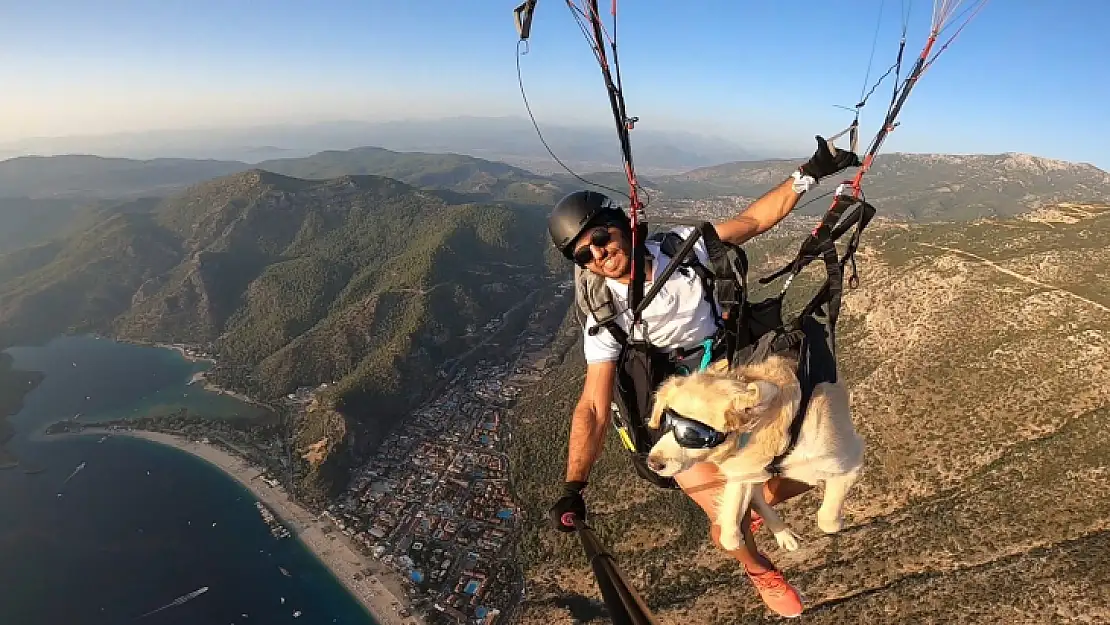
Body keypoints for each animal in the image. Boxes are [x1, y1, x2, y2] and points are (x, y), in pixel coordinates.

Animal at [643, 355, 865, 555]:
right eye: (666, 420)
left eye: (691, 434)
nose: (652, 463)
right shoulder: (742, 472)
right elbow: (732, 523)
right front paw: (734, 535)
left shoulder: (849, 461)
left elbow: (827, 519)